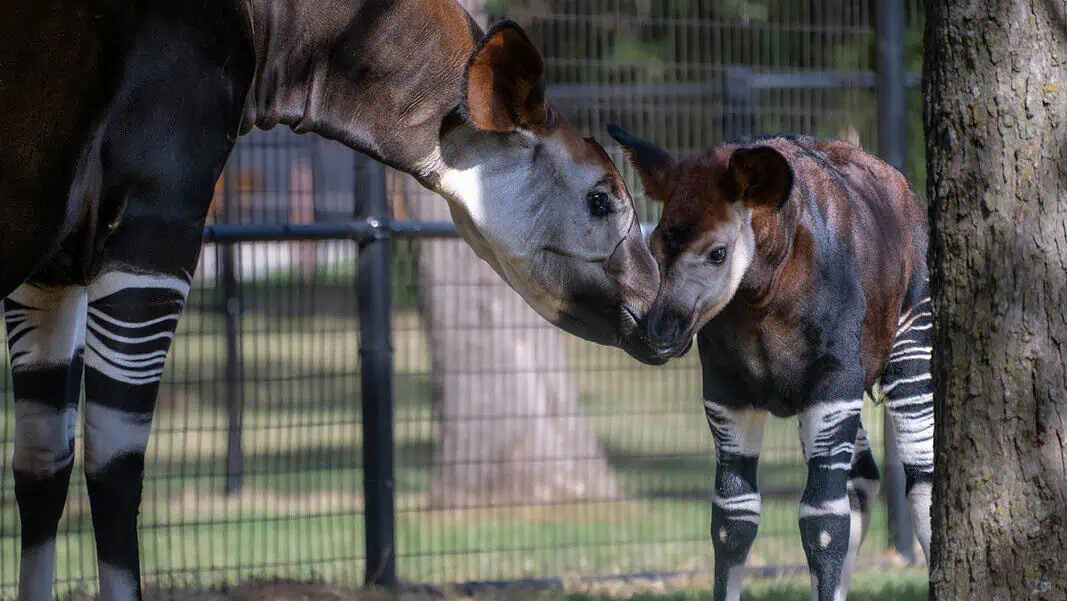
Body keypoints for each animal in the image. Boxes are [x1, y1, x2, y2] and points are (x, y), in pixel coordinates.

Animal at [0, 2, 666, 599]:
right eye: (601, 199)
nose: (667, 321)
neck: (266, 20)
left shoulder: (53, 272)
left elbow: (41, 466)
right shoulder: (156, 225)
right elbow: (115, 468)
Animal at [608, 125, 934, 601]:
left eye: (718, 253)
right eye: (654, 247)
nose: (660, 333)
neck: (762, 296)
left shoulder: (832, 383)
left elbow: (822, 522)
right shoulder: (729, 394)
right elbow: (732, 520)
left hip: (910, 344)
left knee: (920, 482)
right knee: (862, 480)